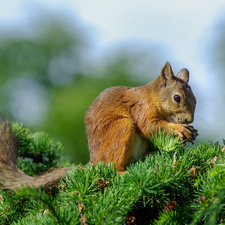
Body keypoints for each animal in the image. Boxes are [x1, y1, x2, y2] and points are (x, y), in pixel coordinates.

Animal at [0, 62, 198, 191]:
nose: (189, 120)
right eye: (177, 98)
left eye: (195, 100)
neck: (153, 96)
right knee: (112, 166)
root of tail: (93, 162)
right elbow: (149, 125)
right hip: (121, 128)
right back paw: (123, 173)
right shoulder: (142, 107)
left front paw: (191, 131)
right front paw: (178, 129)